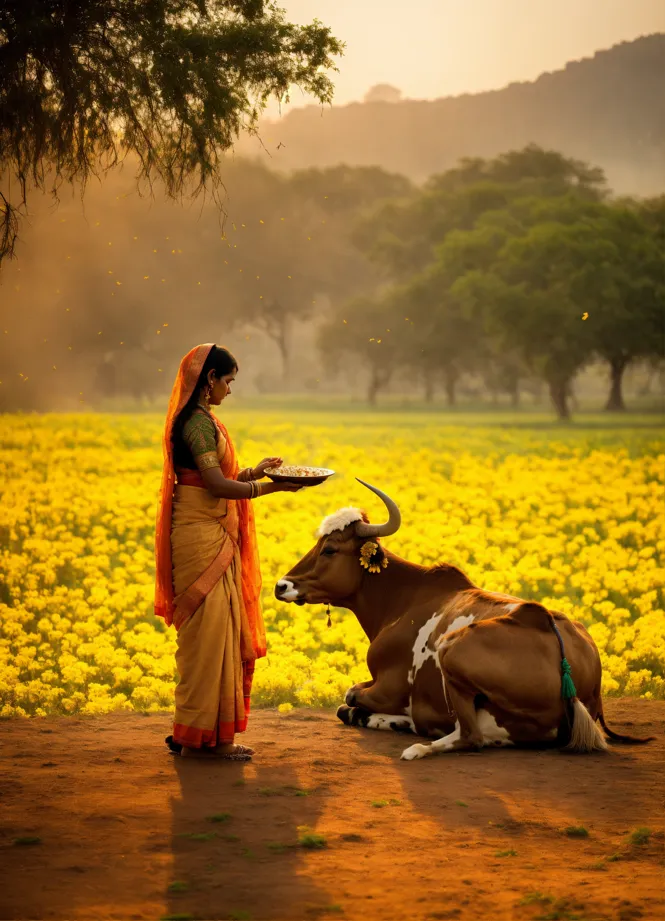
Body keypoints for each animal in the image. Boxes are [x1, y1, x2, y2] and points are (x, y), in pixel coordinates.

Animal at [274, 478, 648, 760]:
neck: (401, 600)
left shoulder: (388, 686)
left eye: (329, 549)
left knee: (470, 736)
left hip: (451, 650)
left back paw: (417, 745)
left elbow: (349, 697)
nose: (282, 585)